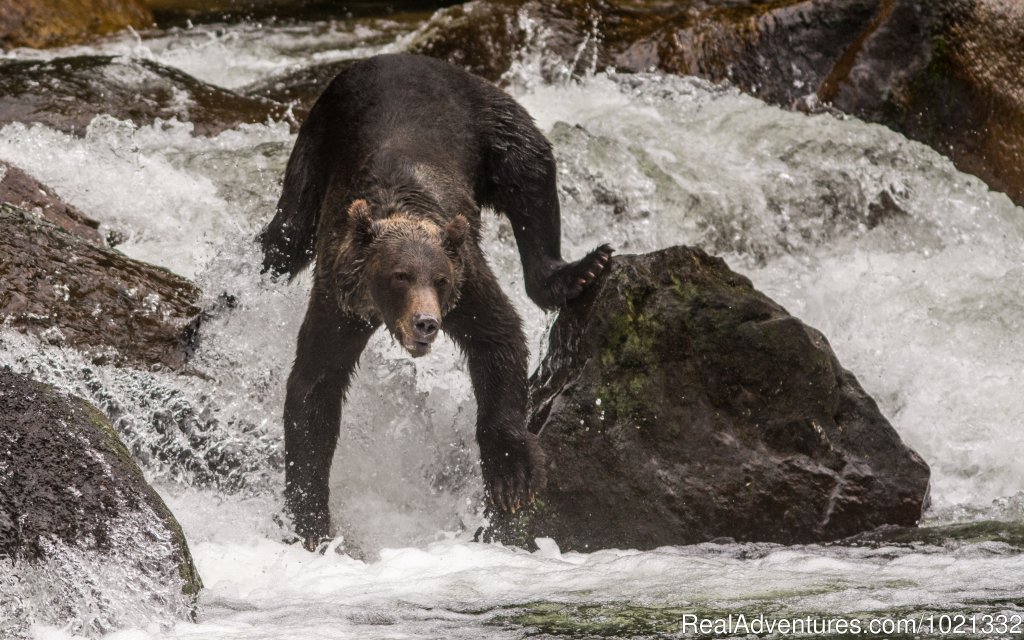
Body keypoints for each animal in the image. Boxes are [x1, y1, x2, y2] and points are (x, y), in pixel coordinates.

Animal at [260, 52, 610, 544]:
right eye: (399, 276)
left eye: (438, 280)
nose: (427, 322)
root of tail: (394, 55)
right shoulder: (339, 296)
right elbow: (315, 384)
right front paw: (310, 522)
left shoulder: (465, 278)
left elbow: (497, 336)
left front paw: (512, 476)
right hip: (316, 139)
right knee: (286, 236)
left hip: (482, 115)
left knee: (529, 167)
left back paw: (579, 271)